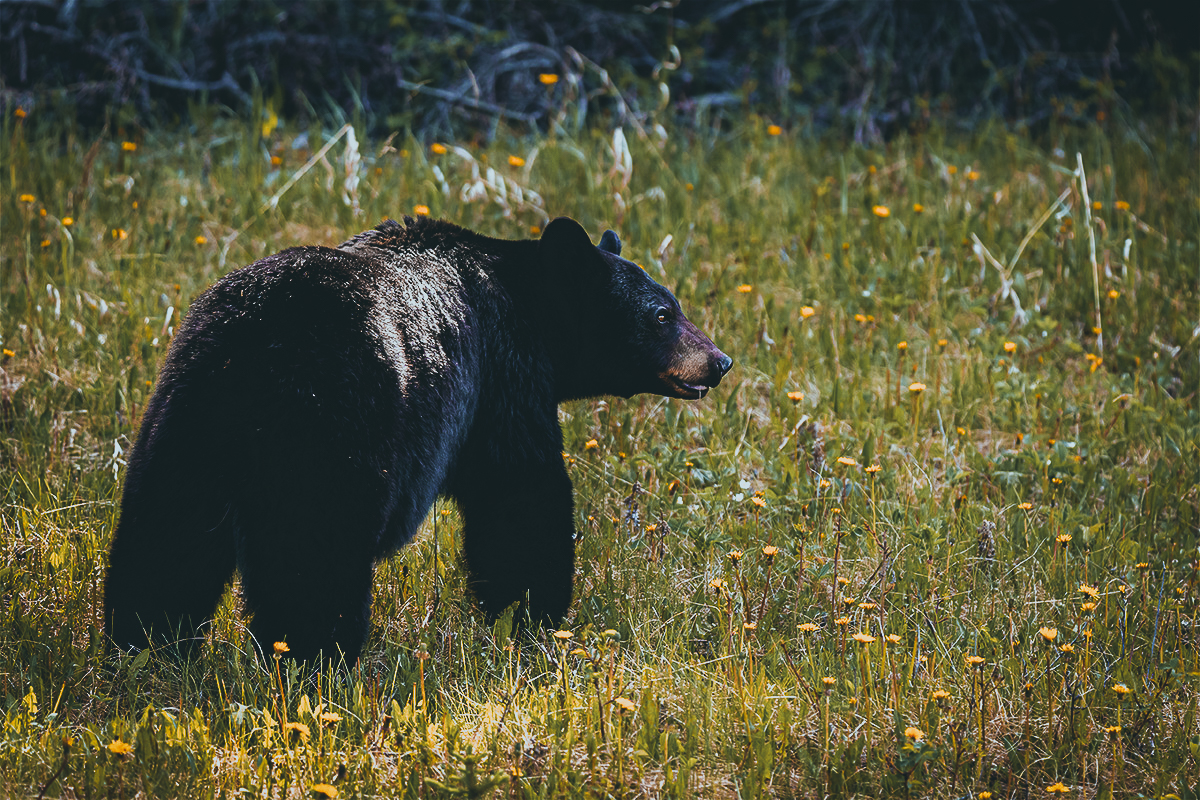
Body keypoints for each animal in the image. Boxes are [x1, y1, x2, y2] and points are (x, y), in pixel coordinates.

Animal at [103, 214, 729, 662]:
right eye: (662, 314)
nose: (720, 361)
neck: (527, 303)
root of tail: (254, 342)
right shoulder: (500, 377)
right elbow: (521, 498)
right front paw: (534, 619)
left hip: (187, 415)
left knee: (165, 537)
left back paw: (145, 647)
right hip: (331, 425)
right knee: (312, 554)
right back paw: (313, 660)